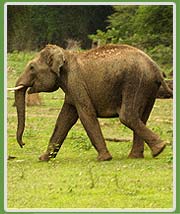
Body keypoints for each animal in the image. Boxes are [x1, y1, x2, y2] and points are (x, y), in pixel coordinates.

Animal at [11, 44, 173, 160]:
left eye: (32, 67)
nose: (23, 144)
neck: (66, 54)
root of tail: (157, 70)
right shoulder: (71, 89)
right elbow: (64, 119)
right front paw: (44, 158)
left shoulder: (76, 82)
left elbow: (85, 115)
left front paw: (104, 159)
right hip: (148, 88)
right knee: (142, 117)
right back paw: (141, 155)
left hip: (135, 82)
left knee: (127, 116)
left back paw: (159, 149)